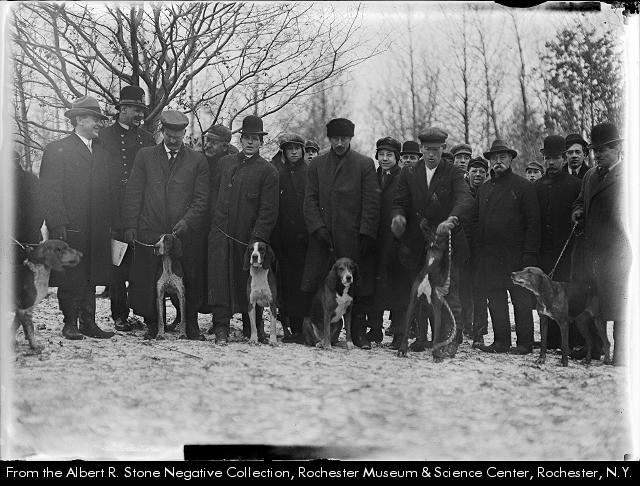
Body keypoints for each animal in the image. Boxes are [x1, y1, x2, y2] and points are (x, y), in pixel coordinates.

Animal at [397, 220, 456, 361]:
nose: (423, 219)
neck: (430, 268)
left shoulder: (436, 307)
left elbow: (437, 336)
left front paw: (436, 354)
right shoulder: (413, 303)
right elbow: (406, 330)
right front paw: (402, 349)